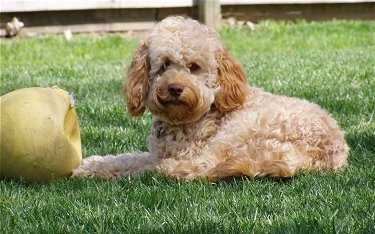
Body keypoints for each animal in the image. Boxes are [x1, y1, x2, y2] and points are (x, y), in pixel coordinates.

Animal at [72, 16, 350, 181]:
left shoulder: (184, 151)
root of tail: (327, 153)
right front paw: (92, 165)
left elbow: (136, 164)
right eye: (164, 65)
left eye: (194, 67)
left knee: (197, 168)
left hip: (239, 132)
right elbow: (124, 157)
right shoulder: (155, 152)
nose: (174, 88)